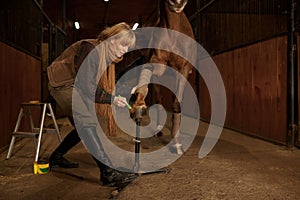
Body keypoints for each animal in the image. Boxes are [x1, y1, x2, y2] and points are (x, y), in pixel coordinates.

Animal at [130, 0, 196, 155]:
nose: (178, 3)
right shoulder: (157, 63)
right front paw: (138, 103)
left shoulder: (183, 69)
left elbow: (177, 103)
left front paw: (176, 144)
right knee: (159, 98)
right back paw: (158, 130)